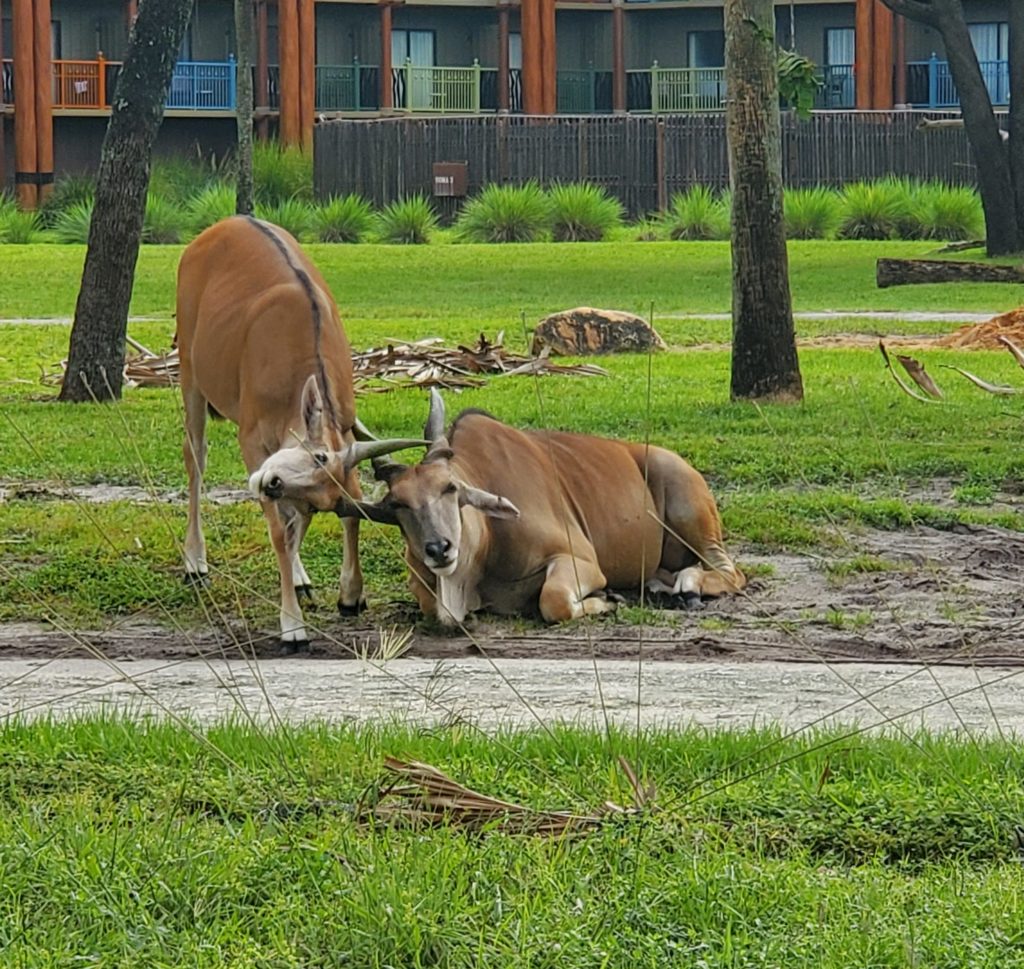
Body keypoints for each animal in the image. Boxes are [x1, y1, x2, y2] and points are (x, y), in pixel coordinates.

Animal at [176, 215, 419, 647]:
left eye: (316, 504)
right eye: (316, 456)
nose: (271, 485)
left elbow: (319, 520)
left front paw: (348, 594)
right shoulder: (252, 443)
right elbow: (277, 531)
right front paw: (292, 624)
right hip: (191, 374)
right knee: (195, 459)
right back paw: (195, 562)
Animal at [252, 387, 749, 622]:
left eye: (450, 489)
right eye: (397, 506)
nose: (439, 549)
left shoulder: (580, 560)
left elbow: (554, 601)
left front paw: (606, 601)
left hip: (689, 509)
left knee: (731, 572)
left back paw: (687, 584)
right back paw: (665, 583)